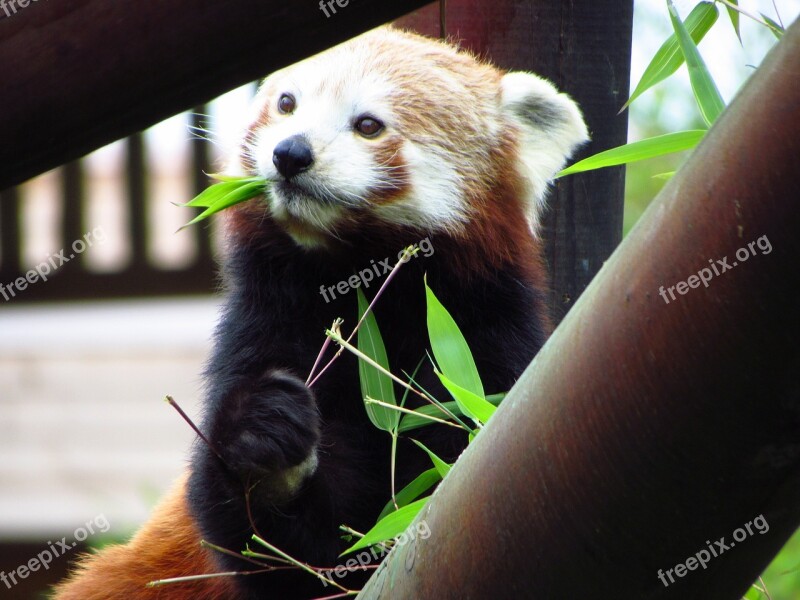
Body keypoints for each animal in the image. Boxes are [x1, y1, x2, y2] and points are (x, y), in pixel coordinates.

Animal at [53, 25, 584, 596]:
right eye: (287, 103)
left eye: (368, 125)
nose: (290, 153)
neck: (357, 293)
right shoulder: (263, 324)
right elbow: (259, 539)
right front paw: (266, 447)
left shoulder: (482, 341)